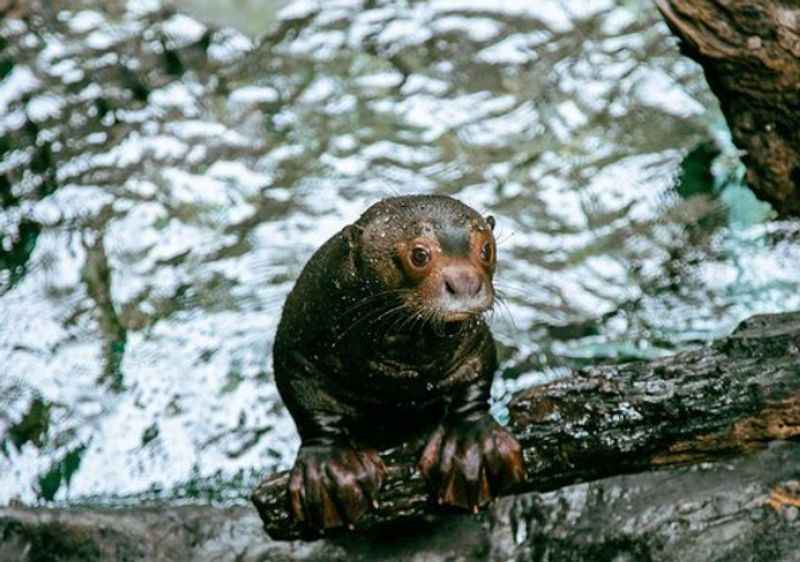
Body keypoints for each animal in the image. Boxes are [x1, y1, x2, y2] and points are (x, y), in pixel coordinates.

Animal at [274, 195, 524, 528]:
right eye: (419, 255)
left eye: (486, 249)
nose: (465, 283)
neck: (399, 374)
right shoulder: (298, 343)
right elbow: (306, 399)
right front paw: (330, 468)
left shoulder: (475, 341)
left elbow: (476, 375)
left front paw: (469, 444)